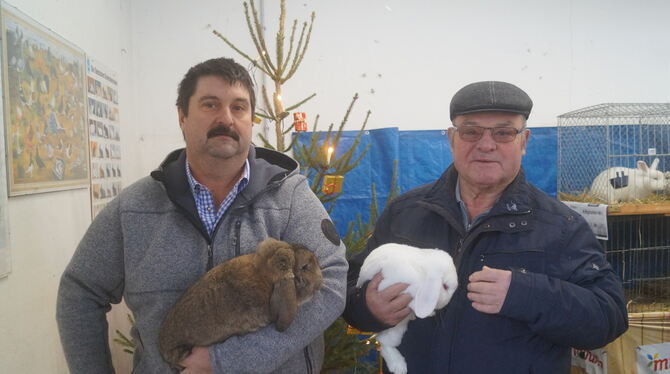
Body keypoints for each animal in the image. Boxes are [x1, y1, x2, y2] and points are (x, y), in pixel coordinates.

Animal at [356, 243, 462, 374]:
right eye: (445, 286)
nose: (449, 299)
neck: (422, 273)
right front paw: (426, 312)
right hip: (395, 331)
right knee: (384, 342)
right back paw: (399, 366)